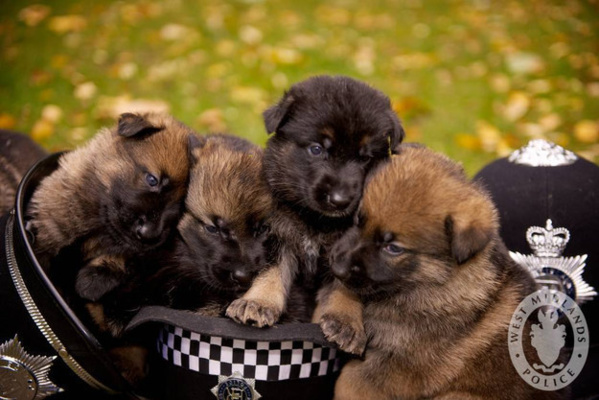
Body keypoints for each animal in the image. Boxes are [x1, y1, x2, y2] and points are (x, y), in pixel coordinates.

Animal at [227, 75, 406, 354]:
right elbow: (271, 271)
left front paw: (345, 321)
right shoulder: (277, 234)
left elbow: (345, 286)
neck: (316, 220)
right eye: (316, 149)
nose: (340, 200)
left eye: (366, 158)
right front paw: (258, 302)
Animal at [328, 146, 568, 400]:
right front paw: (343, 320)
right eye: (358, 220)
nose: (336, 267)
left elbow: (349, 380)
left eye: (393, 248)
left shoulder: (403, 370)